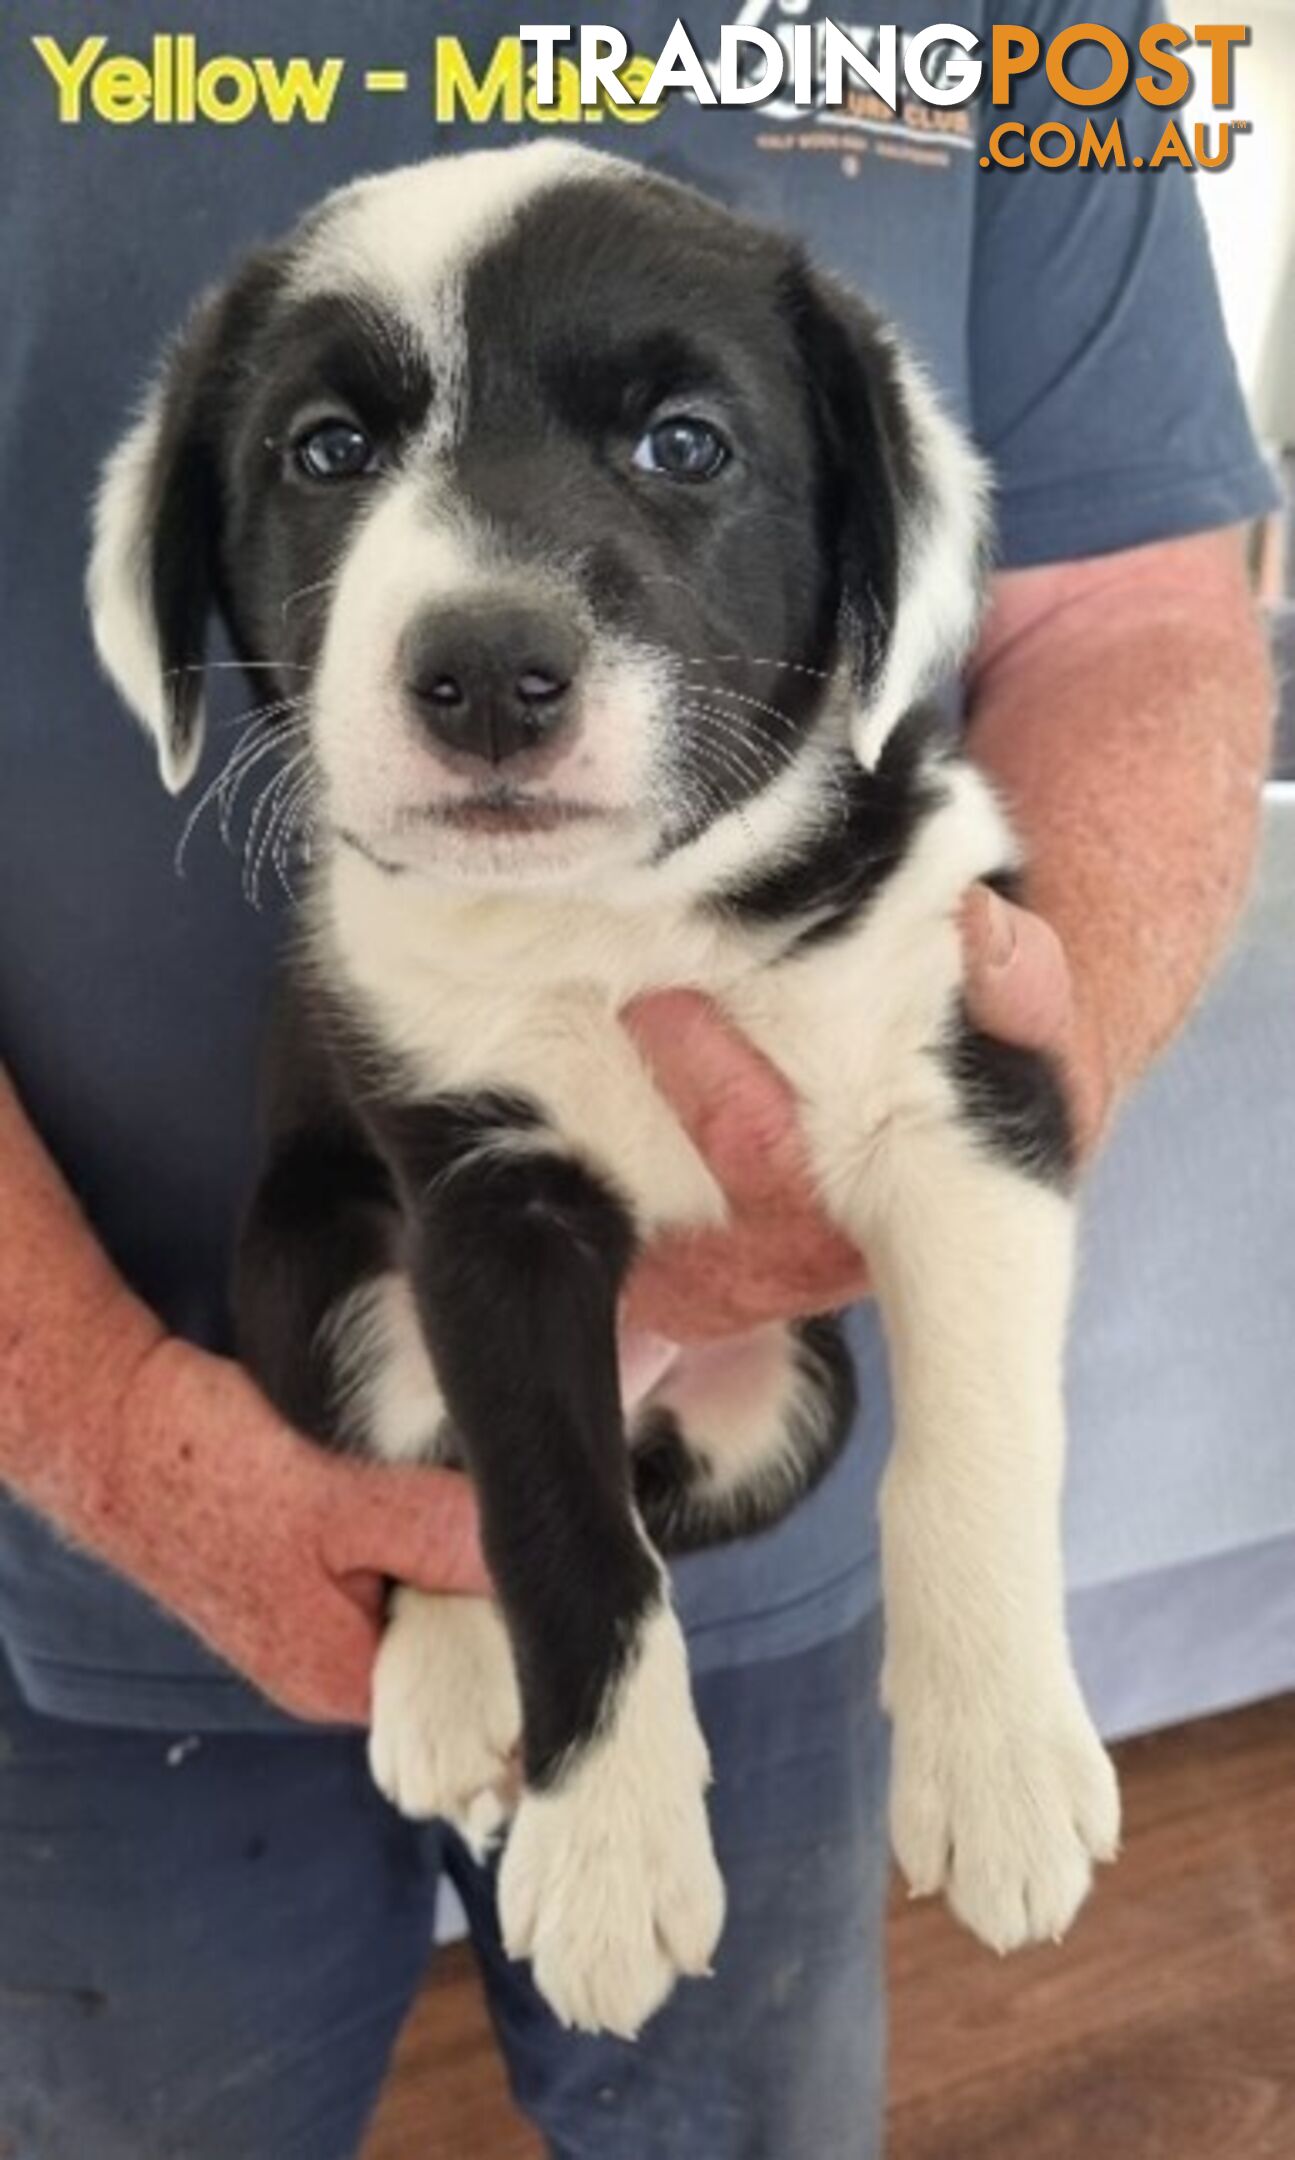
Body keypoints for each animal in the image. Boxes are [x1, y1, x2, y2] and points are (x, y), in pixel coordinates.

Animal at [93, 143, 1122, 2030]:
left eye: (685, 445)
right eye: (325, 451)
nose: (490, 676)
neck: (618, 921)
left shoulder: (971, 1085)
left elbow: (975, 1445)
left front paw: (1001, 1760)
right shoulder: (485, 1210)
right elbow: (554, 1531)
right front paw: (610, 1859)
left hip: (784, 1411)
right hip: (316, 1280)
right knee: (430, 1496)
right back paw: (445, 1699)